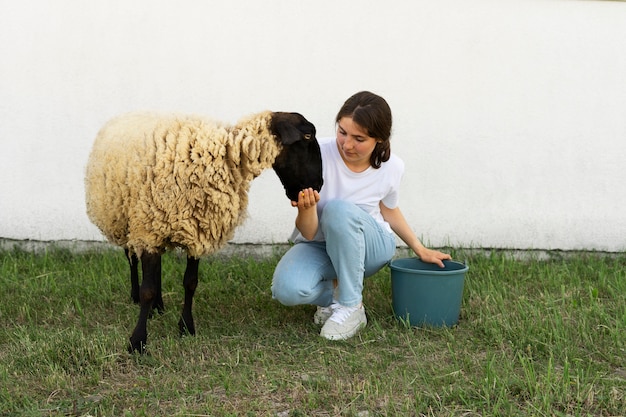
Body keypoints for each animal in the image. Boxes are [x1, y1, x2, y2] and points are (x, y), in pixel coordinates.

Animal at [85, 109, 322, 352]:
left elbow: (190, 283)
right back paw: (136, 297)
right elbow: (147, 290)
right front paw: (137, 341)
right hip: (123, 218)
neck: (225, 156)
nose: (319, 184)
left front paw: (186, 327)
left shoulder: (196, 230)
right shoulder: (149, 230)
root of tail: (125, 115)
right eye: (307, 136)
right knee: (131, 258)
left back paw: (158, 307)